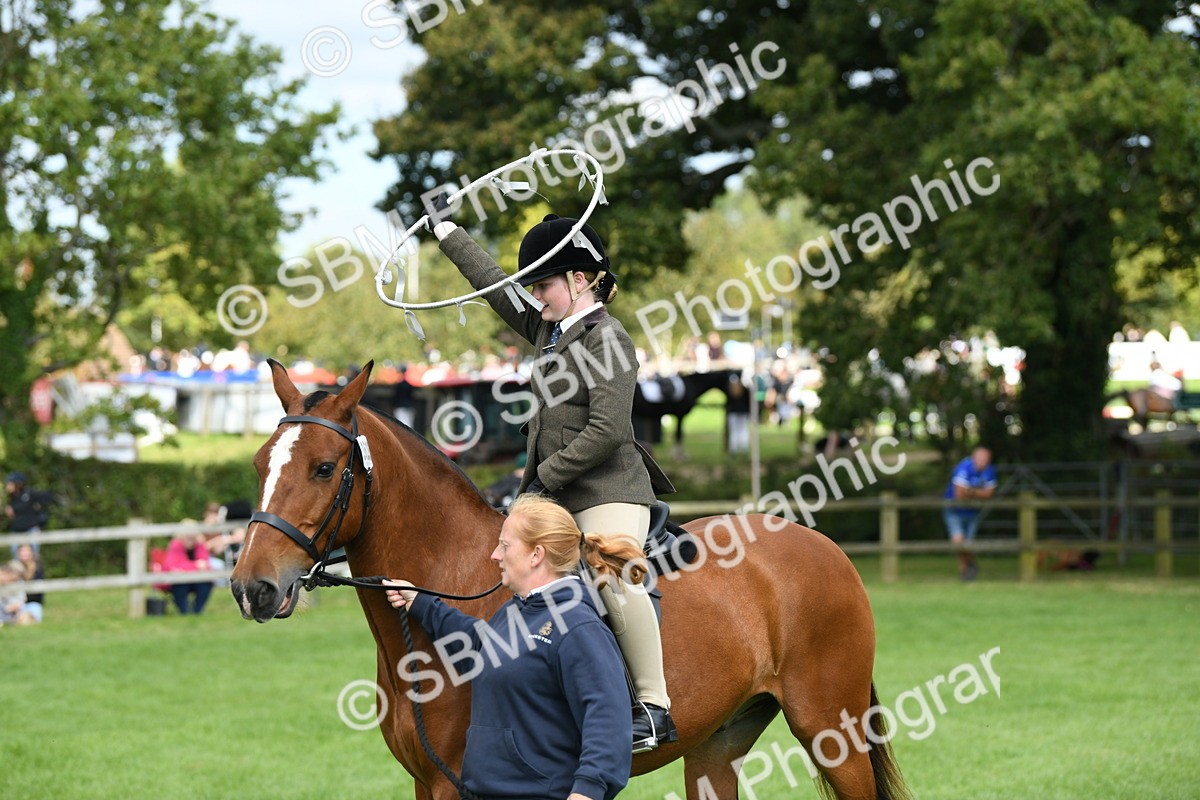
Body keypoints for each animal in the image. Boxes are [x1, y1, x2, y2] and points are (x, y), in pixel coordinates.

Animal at [231, 361, 910, 800]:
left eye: (324, 468)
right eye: (261, 464)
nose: (251, 587)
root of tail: (821, 545)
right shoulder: (428, 784)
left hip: (833, 732)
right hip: (716, 746)